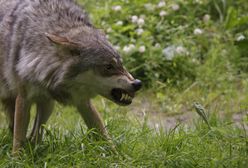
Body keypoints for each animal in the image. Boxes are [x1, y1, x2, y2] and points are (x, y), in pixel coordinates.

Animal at [0, 0, 141, 153]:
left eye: (121, 64)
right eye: (108, 67)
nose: (138, 83)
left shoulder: (83, 101)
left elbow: (104, 134)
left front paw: (119, 156)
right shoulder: (23, 98)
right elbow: (18, 140)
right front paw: (17, 157)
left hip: (47, 104)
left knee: (35, 133)